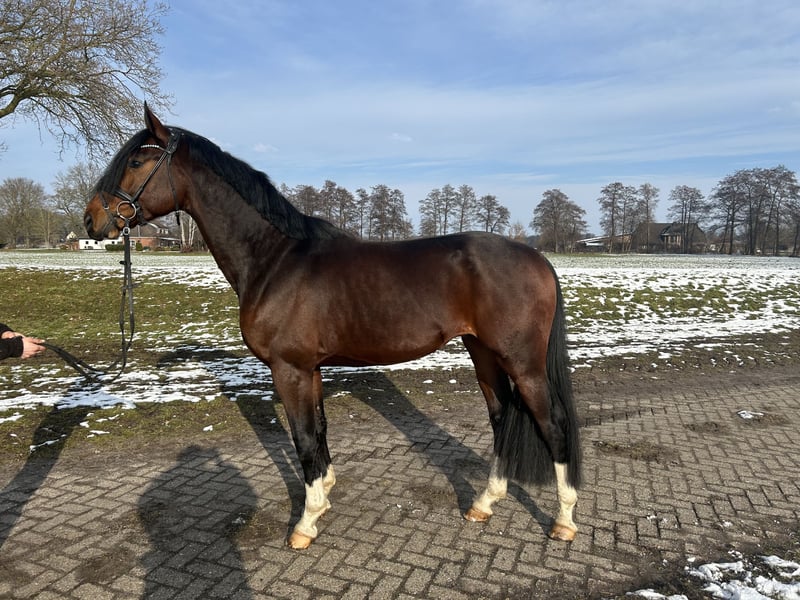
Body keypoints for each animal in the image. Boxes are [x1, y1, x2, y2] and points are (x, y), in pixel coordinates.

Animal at [84, 105, 582, 550]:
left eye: (135, 161)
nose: (91, 219)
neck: (275, 260)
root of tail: (536, 257)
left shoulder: (290, 369)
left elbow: (304, 439)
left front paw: (305, 523)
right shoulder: (311, 370)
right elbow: (319, 431)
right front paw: (323, 495)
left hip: (522, 361)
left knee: (552, 423)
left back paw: (564, 521)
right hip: (483, 352)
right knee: (502, 416)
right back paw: (484, 503)